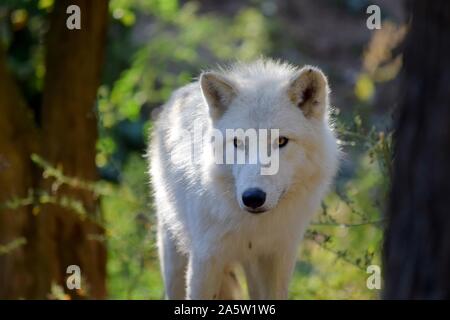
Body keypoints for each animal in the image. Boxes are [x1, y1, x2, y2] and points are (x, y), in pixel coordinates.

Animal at [149, 58, 340, 300]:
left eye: (281, 141)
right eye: (237, 142)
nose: (253, 197)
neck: (254, 227)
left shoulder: (278, 256)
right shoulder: (205, 260)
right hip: (173, 259)